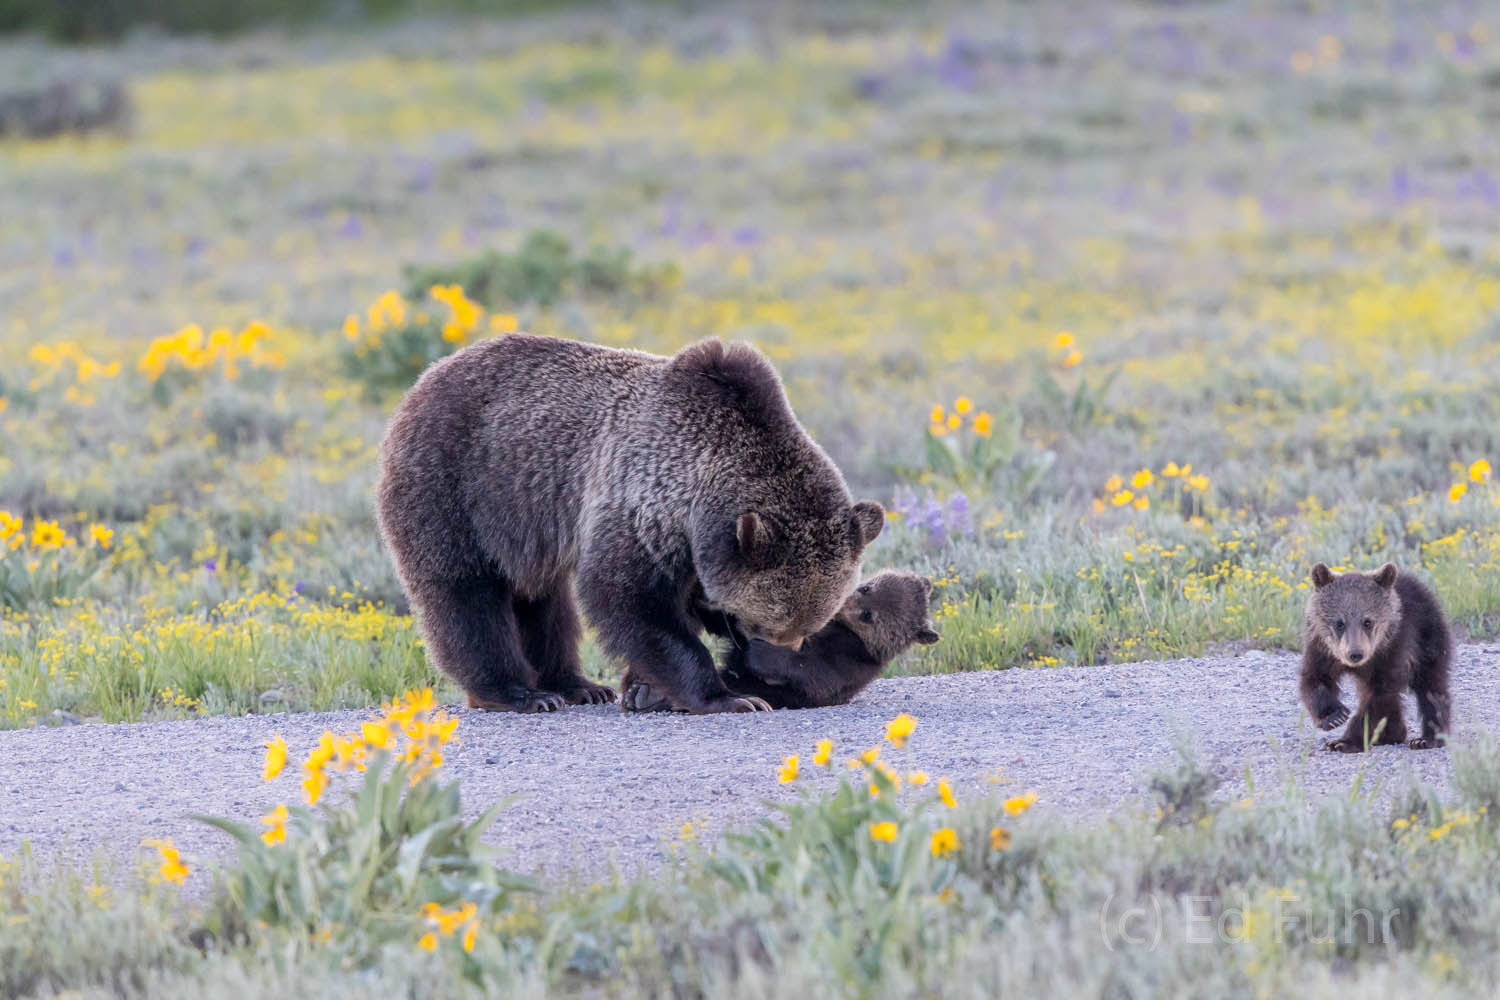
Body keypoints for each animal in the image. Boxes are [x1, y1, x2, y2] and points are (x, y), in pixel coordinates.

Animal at [378, 334, 888, 710]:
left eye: (807, 628)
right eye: (768, 621)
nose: (771, 659)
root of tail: (426, 377)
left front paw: (644, 689)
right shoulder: (641, 502)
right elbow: (629, 596)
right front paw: (727, 697)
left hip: (527, 528)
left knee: (544, 602)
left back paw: (577, 685)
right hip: (458, 485)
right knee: (467, 592)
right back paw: (519, 692)